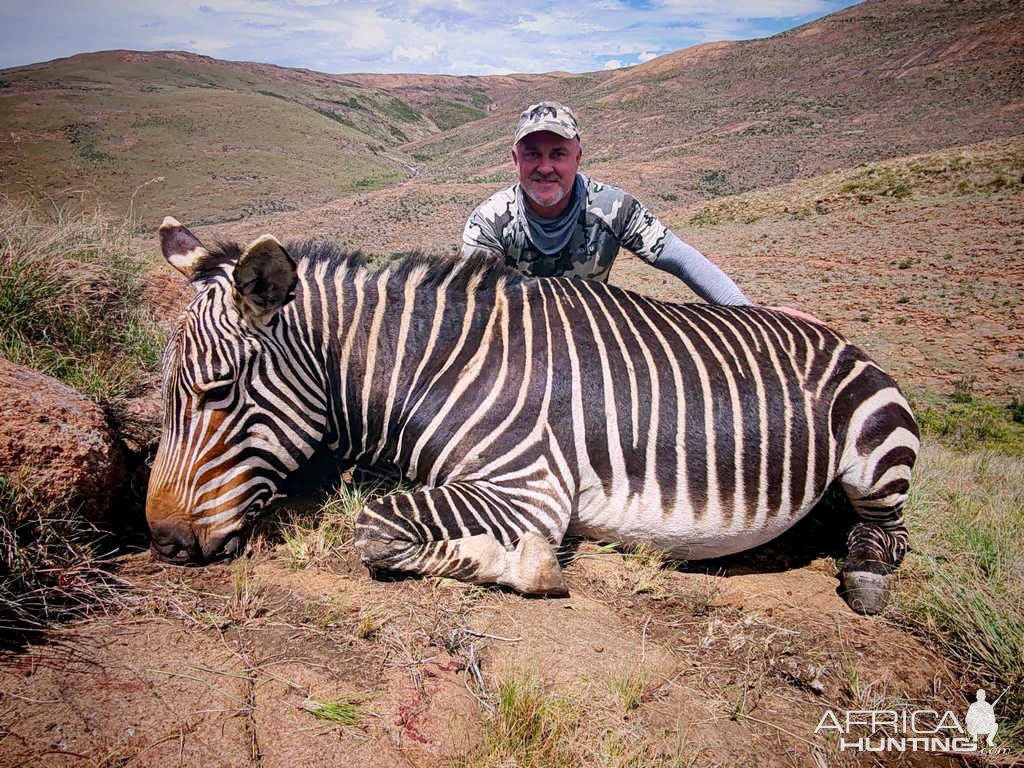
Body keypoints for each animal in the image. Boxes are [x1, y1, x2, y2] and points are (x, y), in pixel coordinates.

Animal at [148, 217, 925, 614]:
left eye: (218, 392)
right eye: (170, 392)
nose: (162, 542)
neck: (438, 366)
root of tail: (839, 336)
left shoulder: (531, 488)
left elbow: (374, 528)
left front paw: (528, 566)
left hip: (873, 455)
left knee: (887, 532)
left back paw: (866, 574)